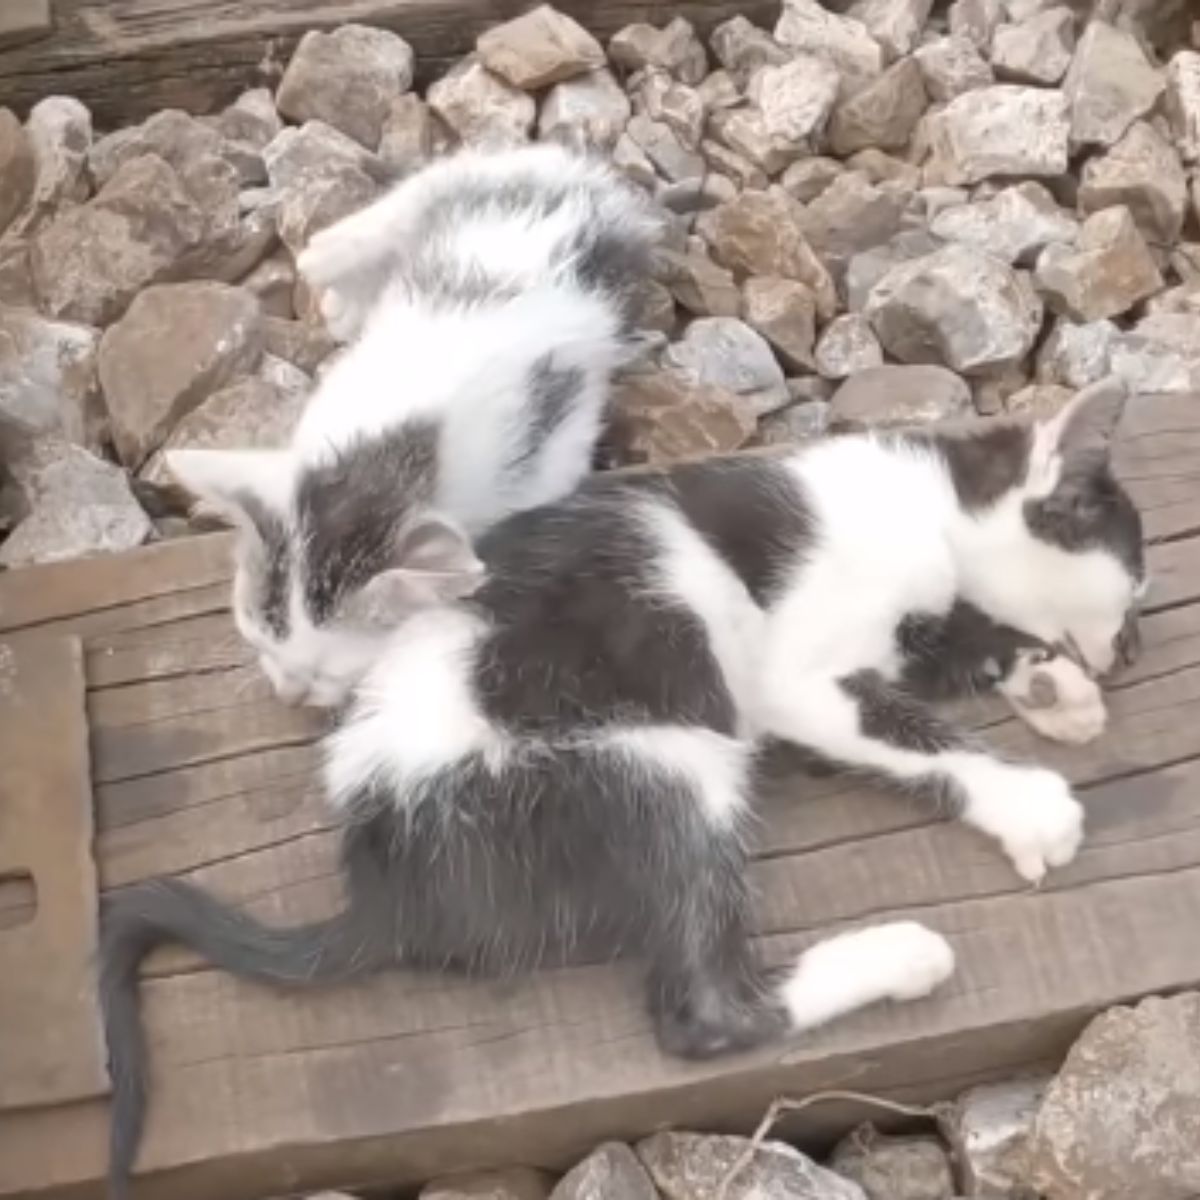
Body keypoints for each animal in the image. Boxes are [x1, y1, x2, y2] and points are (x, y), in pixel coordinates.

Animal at [103, 379, 1142, 1195]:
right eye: (1131, 588)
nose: (1130, 651)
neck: (924, 503)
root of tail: (387, 882)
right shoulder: (796, 673)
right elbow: (910, 729)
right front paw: (1026, 796)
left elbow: (954, 647)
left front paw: (1050, 688)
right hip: (661, 759)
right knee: (704, 1009)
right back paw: (899, 955)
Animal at [168, 141, 662, 705]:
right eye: (257, 637)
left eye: (329, 674)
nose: (289, 694)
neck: (396, 452)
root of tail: (587, 179)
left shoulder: (551, 456)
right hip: (455, 179)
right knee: (355, 232)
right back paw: (341, 292)